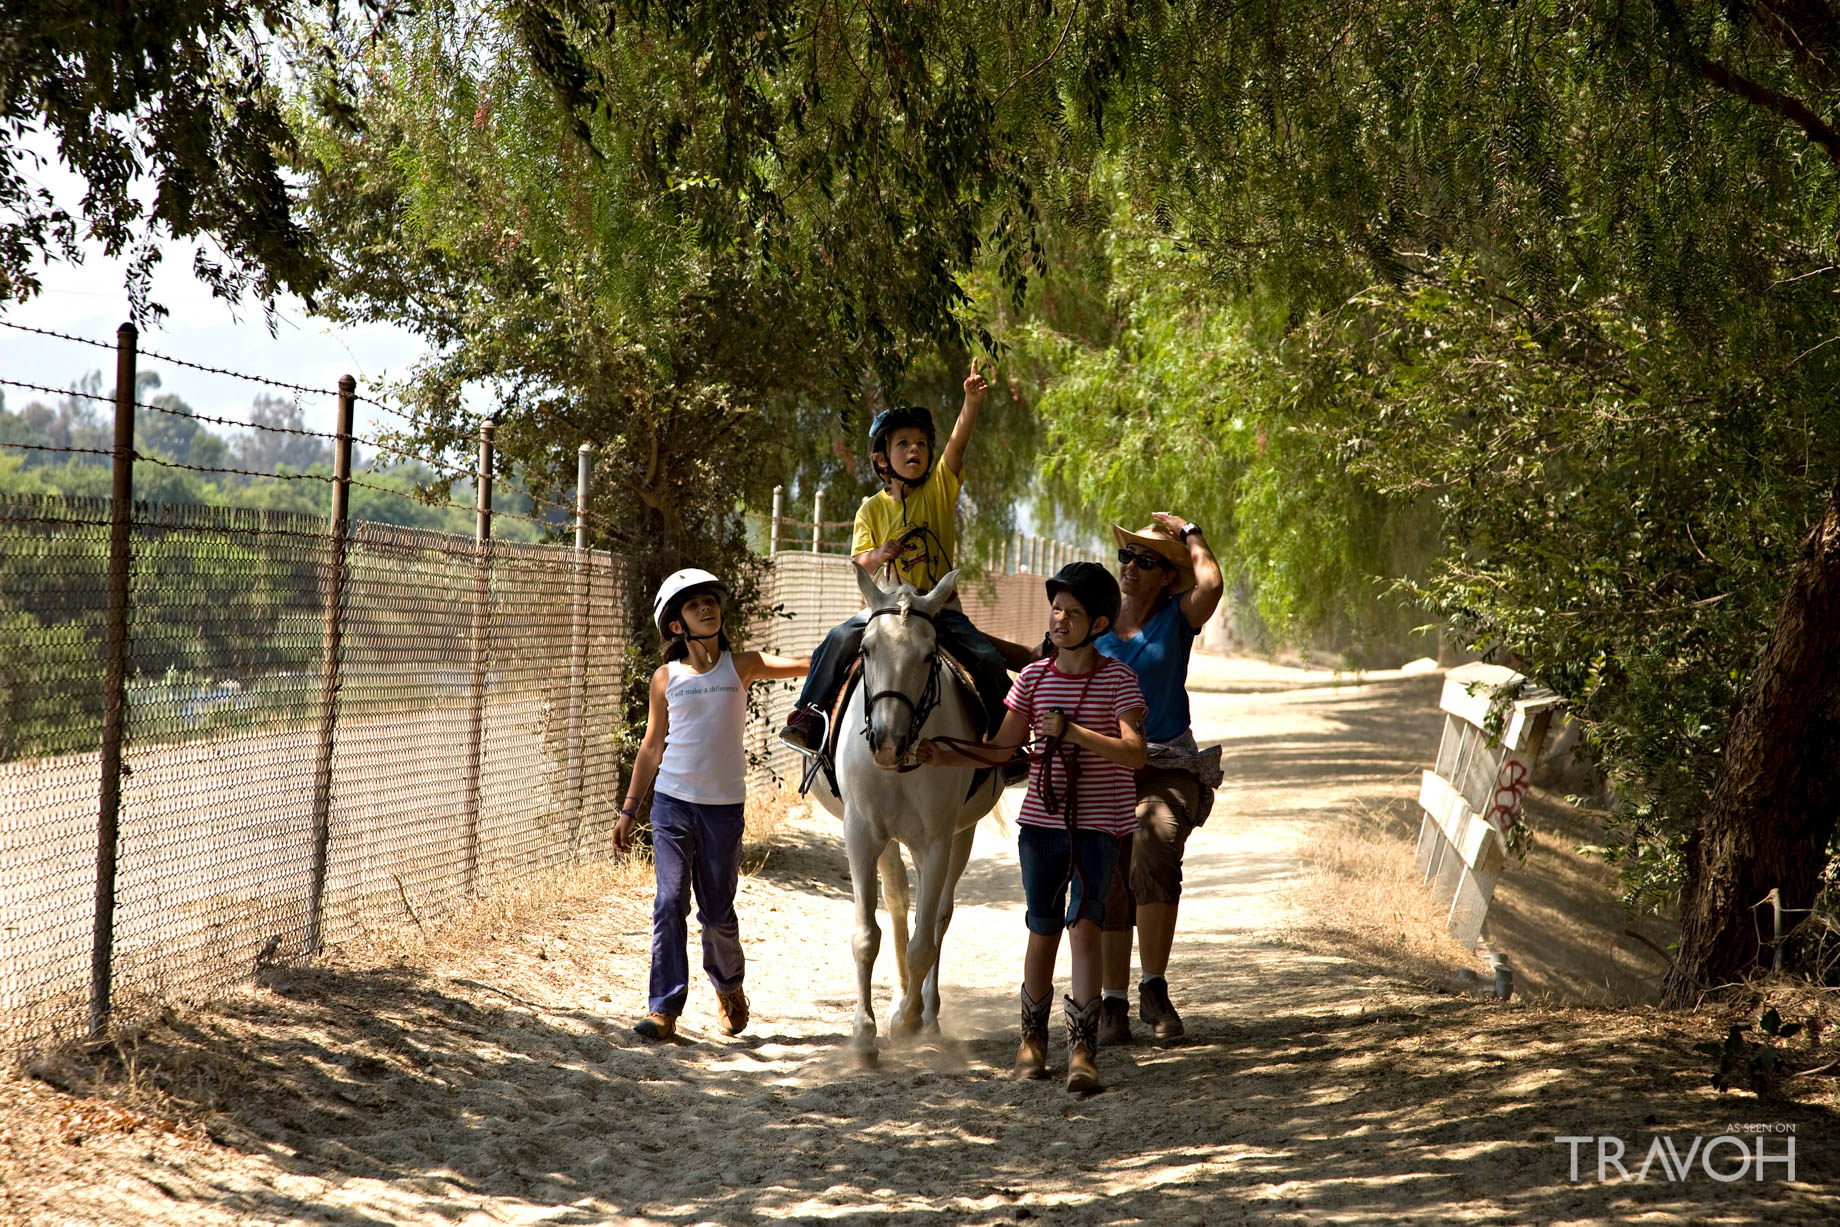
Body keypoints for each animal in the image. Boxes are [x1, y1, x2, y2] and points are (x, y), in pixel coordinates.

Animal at [809, 562, 1008, 1059]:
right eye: (865, 649)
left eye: (928, 655)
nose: (887, 741)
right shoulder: (862, 833)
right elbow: (867, 935)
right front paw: (864, 1033)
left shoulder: (935, 841)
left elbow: (924, 940)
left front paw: (908, 1020)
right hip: (887, 839)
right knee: (899, 903)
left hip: (960, 835)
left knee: (936, 918)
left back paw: (925, 1012)